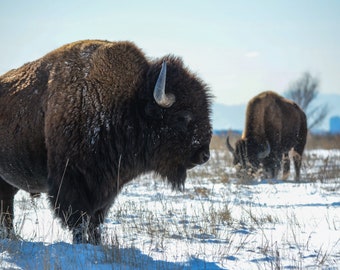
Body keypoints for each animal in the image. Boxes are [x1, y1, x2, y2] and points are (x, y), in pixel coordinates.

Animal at [0, 39, 211, 244]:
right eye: (183, 117)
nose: (204, 155)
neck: (127, 102)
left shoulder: (107, 187)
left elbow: (95, 220)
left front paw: (96, 243)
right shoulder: (72, 181)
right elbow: (79, 219)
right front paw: (81, 244)